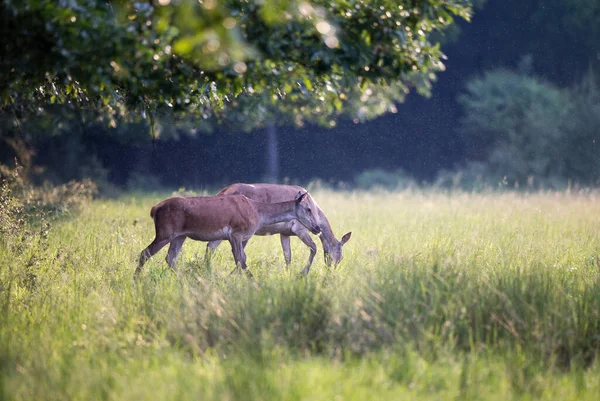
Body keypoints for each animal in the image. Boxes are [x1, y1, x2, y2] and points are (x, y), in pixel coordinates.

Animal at [134, 189, 322, 276]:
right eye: (308, 209)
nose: (318, 228)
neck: (257, 213)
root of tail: (154, 209)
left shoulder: (239, 236)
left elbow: (241, 259)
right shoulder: (236, 233)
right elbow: (241, 259)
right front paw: (252, 281)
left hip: (180, 236)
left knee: (170, 258)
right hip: (165, 232)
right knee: (145, 253)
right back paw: (136, 280)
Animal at [207, 182, 352, 274]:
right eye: (340, 256)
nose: (331, 272)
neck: (316, 212)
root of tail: (221, 192)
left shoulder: (285, 233)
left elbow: (288, 256)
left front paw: (287, 275)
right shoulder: (300, 228)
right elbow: (314, 247)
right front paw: (302, 273)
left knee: (211, 246)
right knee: (215, 246)